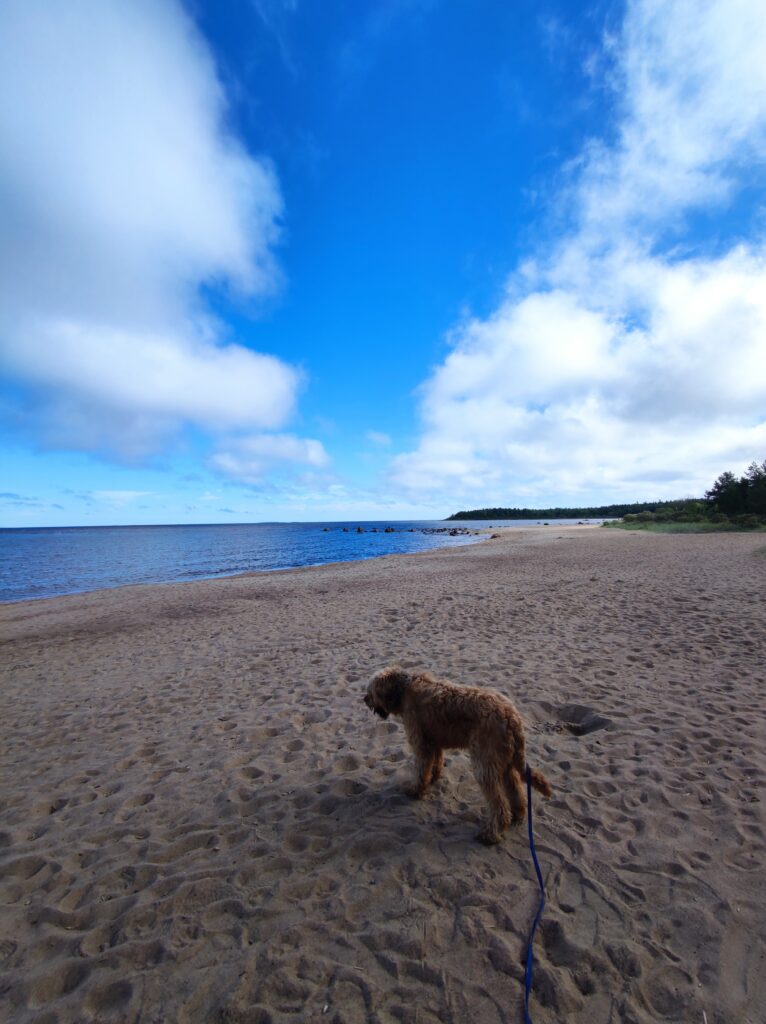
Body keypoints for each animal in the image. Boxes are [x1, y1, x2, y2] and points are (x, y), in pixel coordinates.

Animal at [364, 667, 548, 843]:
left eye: (371, 691)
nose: (364, 699)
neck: (404, 689)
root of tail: (512, 717)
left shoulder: (421, 744)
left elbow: (421, 770)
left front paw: (415, 790)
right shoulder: (434, 741)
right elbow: (436, 762)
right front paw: (433, 778)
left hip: (485, 764)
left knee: (500, 805)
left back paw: (491, 834)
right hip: (505, 762)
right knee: (516, 790)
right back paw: (518, 814)